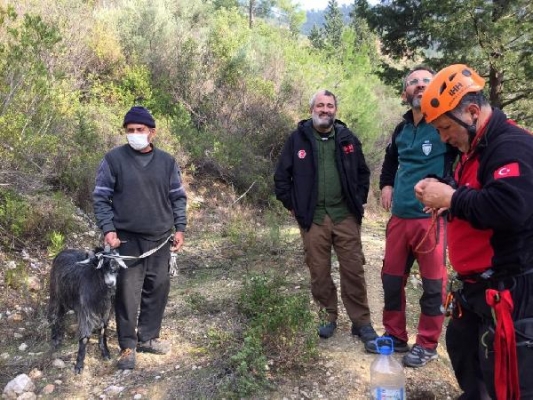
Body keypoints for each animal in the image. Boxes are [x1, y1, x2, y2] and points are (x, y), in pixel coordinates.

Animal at [47, 245, 127, 374]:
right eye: (101, 268)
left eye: (114, 264)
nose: (110, 283)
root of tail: (63, 251)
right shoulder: (86, 311)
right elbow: (84, 337)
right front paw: (79, 365)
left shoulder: (105, 311)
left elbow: (102, 330)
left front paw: (105, 352)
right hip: (56, 294)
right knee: (55, 314)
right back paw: (55, 338)